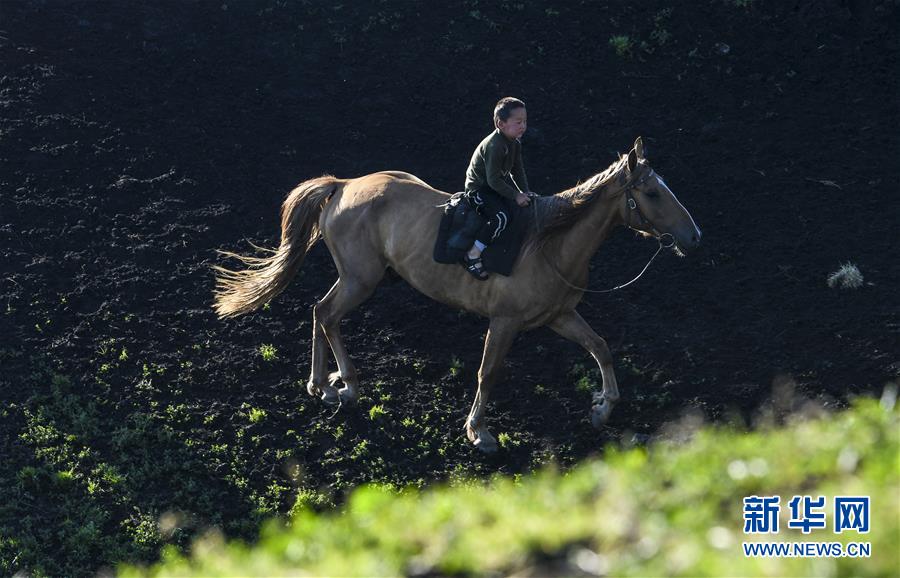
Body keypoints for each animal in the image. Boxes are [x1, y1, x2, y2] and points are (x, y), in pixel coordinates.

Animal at [214, 136, 700, 450]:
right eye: (653, 193)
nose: (693, 237)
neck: (550, 243)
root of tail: (343, 186)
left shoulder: (560, 316)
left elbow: (601, 348)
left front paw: (602, 408)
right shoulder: (504, 322)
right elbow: (488, 372)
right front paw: (478, 431)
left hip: (359, 278)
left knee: (321, 313)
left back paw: (327, 385)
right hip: (359, 279)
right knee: (326, 314)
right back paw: (342, 385)